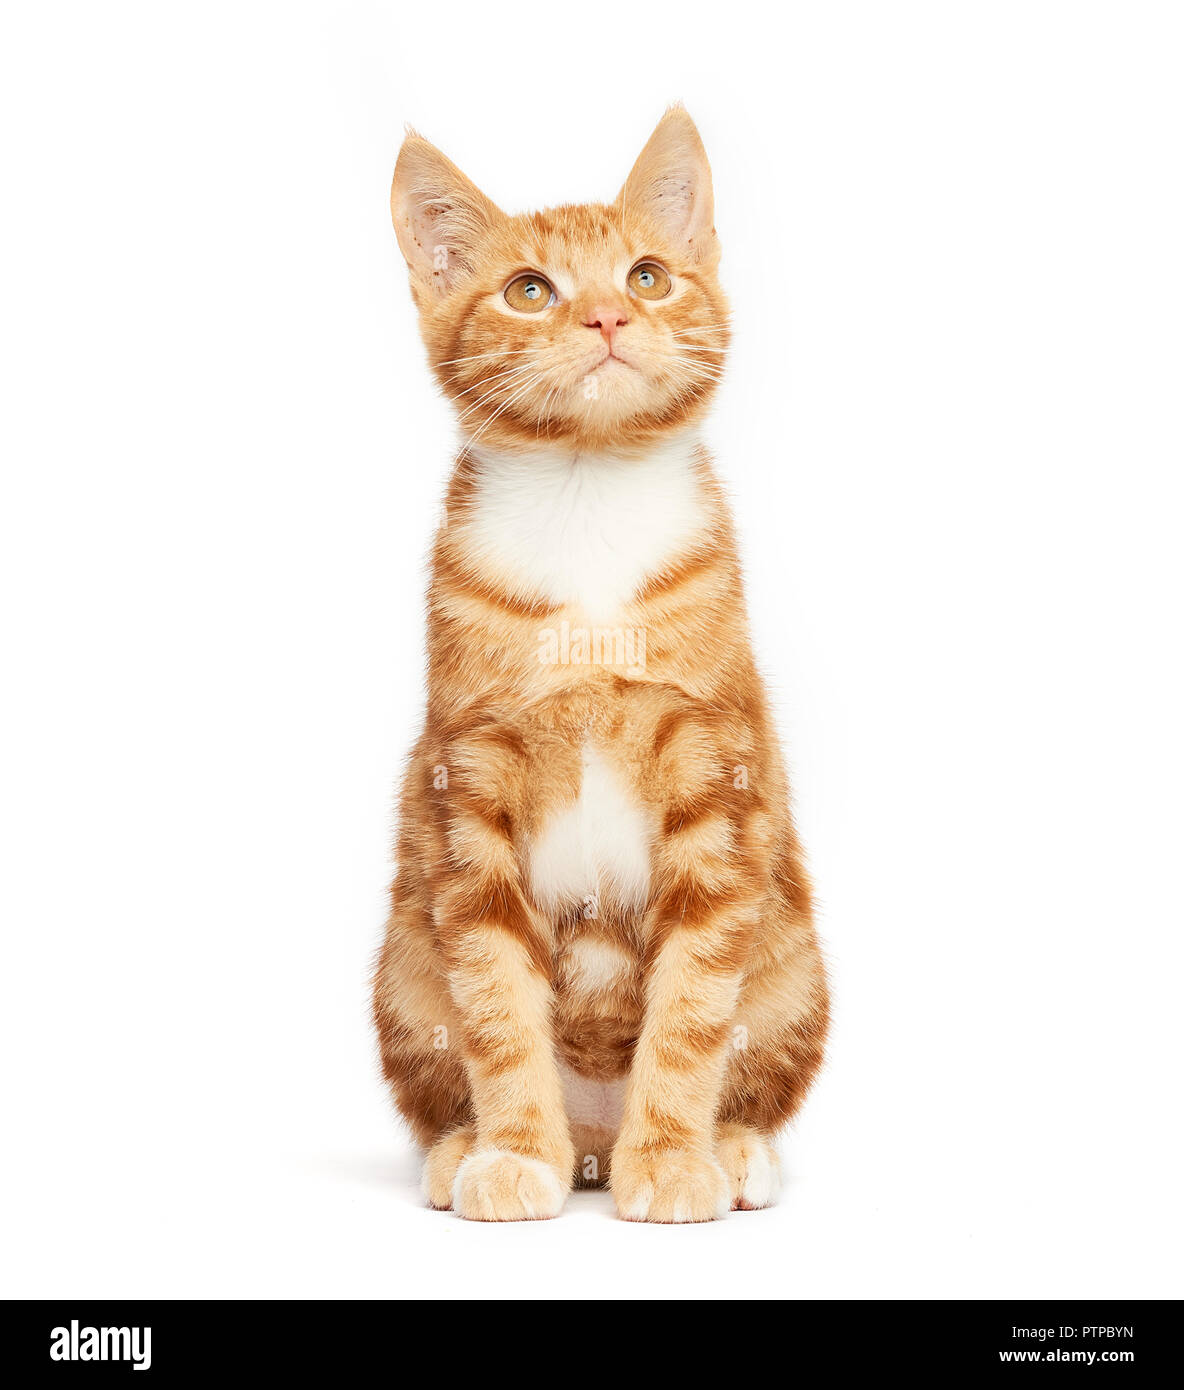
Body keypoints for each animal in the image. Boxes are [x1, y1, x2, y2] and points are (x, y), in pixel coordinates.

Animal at [375, 105, 828, 1217]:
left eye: (648, 275)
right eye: (530, 290)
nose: (608, 320)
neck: (584, 499)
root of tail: (593, 1136)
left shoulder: (718, 785)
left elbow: (692, 1010)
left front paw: (669, 1159)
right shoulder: (466, 790)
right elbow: (496, 1004)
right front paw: (513, 1152)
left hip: (794, 963)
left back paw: (732, 1147)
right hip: (402, 968)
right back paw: (470, 1148)